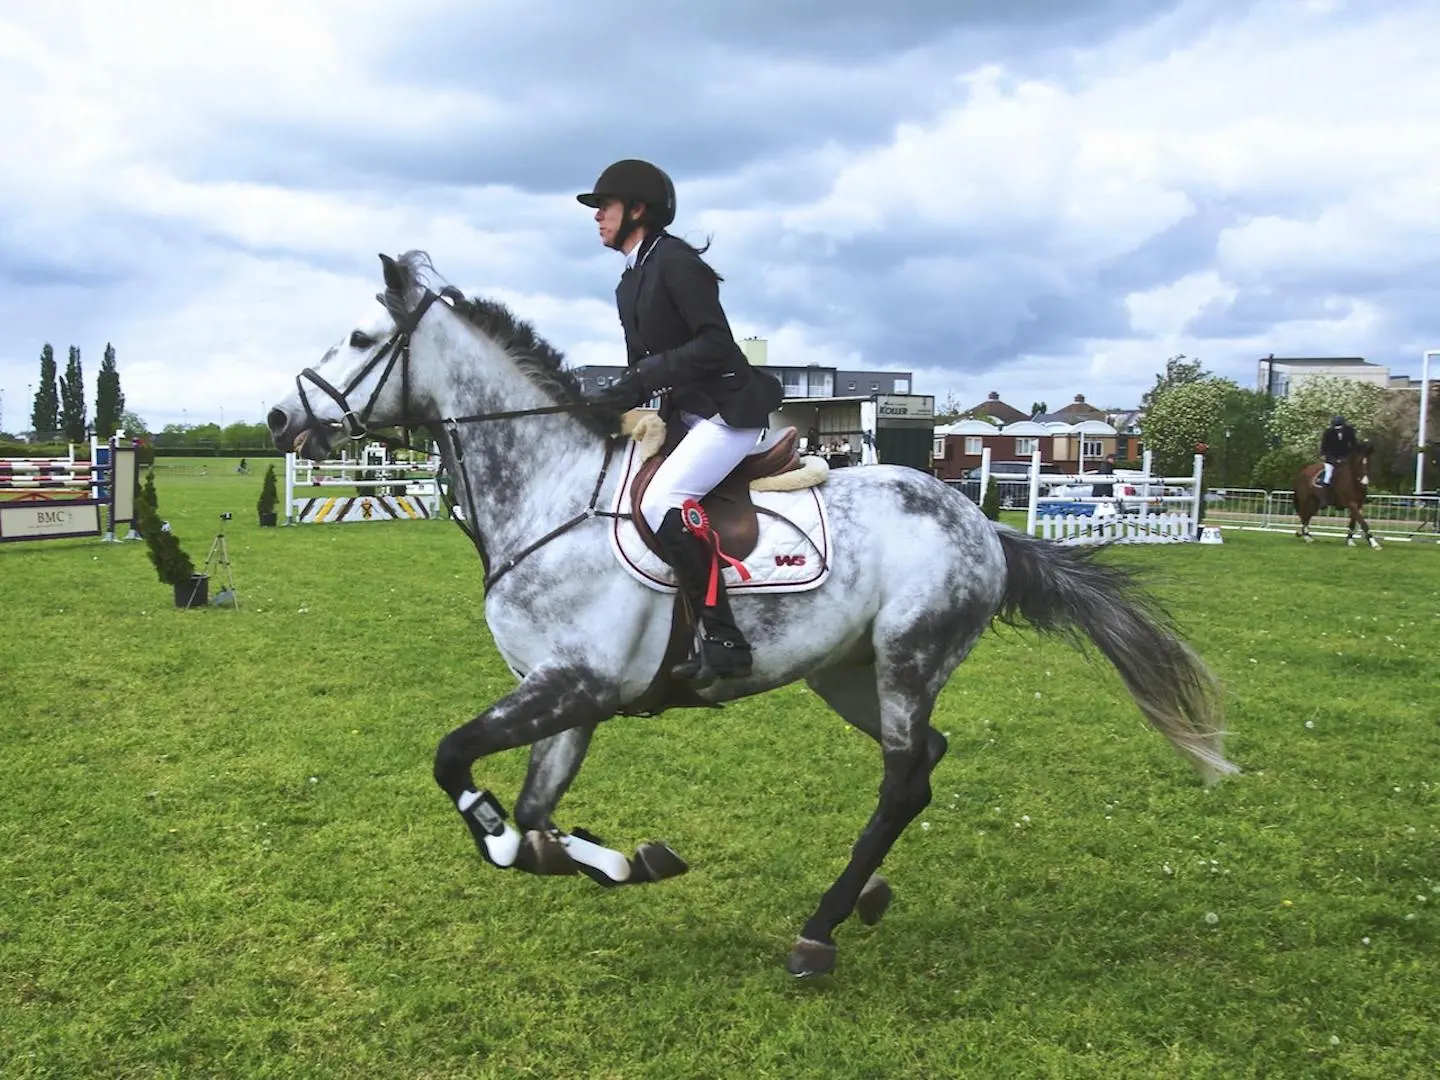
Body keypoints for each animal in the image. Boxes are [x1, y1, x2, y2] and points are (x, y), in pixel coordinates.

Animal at [267, 253, 1238, 979]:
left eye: (361, 338)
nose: (280, 417)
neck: (549, 493)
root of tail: (982, 524)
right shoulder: (569, 697)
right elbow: (539, 819)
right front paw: (621, 858)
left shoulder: (575, 684)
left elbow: (459, 766)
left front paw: (530, 842)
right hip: (847, 674)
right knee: (924, 761)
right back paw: (862, 899)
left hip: (908, 658)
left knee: (901, 779)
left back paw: (820, 929)